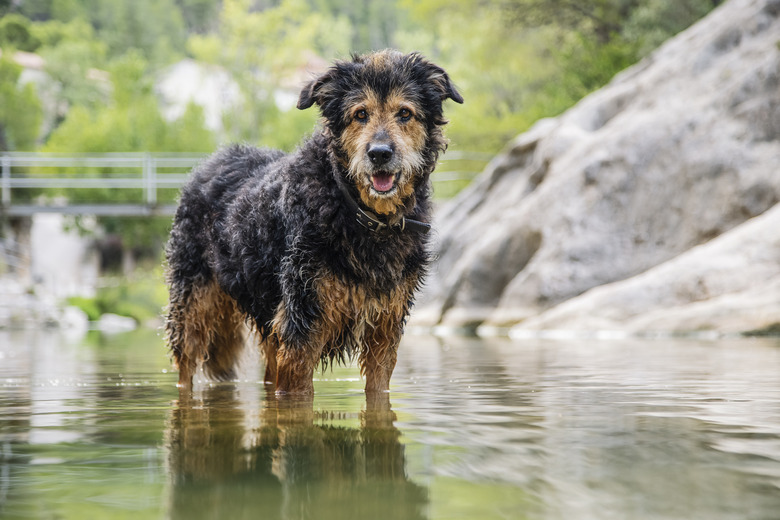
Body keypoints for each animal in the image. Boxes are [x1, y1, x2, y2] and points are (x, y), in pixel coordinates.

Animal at [162, 51, 460, 394]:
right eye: (360, 114)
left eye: (405, 113)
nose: (380, 154)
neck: (359, 212)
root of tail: (208, 163)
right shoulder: (302, 321)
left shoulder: (385, 324)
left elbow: (378, 388)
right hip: (193, 304)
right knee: (186, 365)